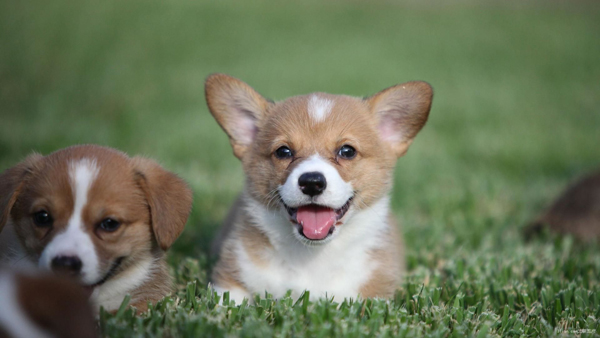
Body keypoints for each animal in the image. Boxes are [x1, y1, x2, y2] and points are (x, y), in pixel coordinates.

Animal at [205, 73, 432, 302]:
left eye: (347, 151)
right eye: (283, 151)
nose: (312, 182)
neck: (313, 256)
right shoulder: (231, 278)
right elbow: (228, 303)